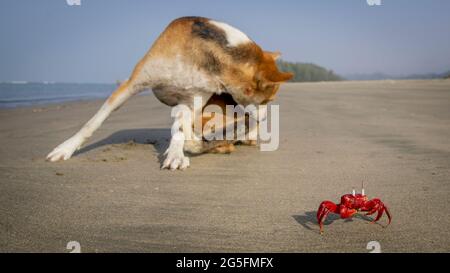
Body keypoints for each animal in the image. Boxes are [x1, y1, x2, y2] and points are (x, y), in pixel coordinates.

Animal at [46, 15, 292, 169]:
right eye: (268, 99)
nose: (265, 118)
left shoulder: (192, 101)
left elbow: (182, 132)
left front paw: (181, 151)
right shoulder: (131, 85)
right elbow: (92, 123)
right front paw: (65, 148)